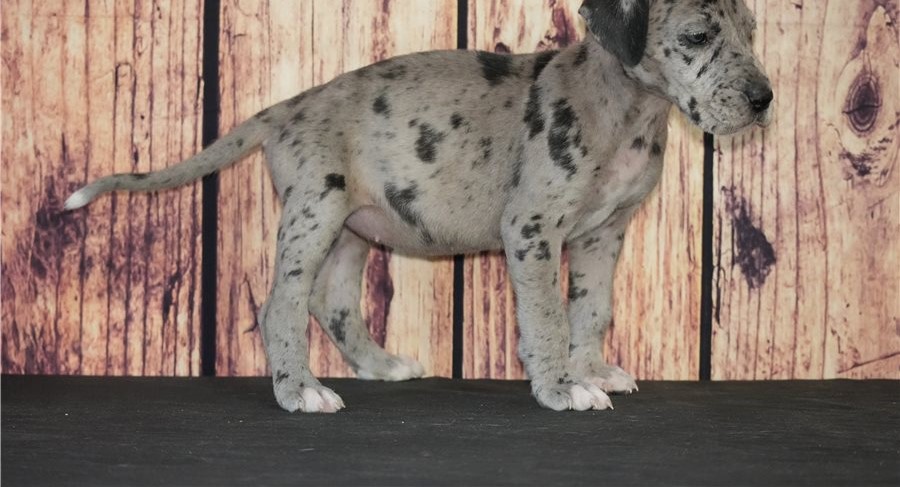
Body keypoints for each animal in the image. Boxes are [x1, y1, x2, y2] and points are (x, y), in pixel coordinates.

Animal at [65, 0, 772, 413]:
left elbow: (592, 310)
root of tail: (286, 108)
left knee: (332, 302)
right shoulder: (533, 230)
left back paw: (379, 364)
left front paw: (591, 368)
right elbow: (547, 316)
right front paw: (562, 386)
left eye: (752, 31)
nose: (764, 98)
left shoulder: (604, 235)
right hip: (313, 211)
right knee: (281, 305)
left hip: (350, 229)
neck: (627, 109)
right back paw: (300, 390)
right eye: (697, 35)